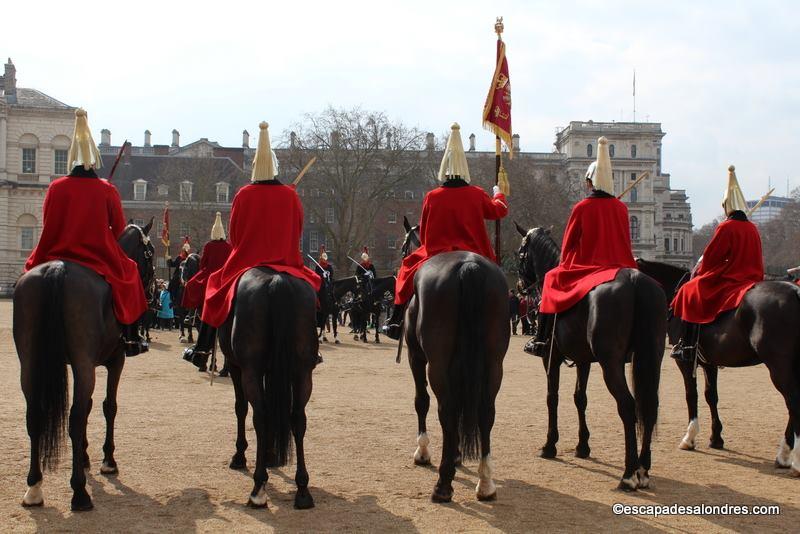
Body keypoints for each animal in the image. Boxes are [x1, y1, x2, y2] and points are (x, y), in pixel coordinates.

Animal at [13, 221, 155, 510]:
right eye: (151, 253)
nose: (154, 292)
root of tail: (56, 268)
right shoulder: (115, 361)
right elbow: (108, 407)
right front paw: (108, 461)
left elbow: (89, 405)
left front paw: (86, 457)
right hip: (83, 362)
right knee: (75, 418)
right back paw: (79, 493)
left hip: (30, 363)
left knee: (34, 415)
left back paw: (34, 487)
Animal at [219, 268, 322, 510]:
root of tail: (277, 279)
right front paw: (271, 454)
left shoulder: (237, 367)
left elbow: (241, 408)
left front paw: (241, 455)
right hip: (303, 371)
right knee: (298, 418)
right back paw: (303, 489)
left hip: (250, 371)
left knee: (260, 416)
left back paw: (258, 488)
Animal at [398, 221, 506, 502]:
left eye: (403, 247)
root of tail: (469, 266)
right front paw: (456, 454)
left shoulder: (416, 358)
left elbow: (422, 401)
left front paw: (424, 451)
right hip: (494, 364)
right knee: (486, 411)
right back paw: (485, 481)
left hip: (435, 364)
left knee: (444, 409)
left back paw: (443, 484)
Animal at [516, 224, 664, 492]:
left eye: (521, 253)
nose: (521, 287)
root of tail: (635, 280)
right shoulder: (583, 359)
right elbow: (580, 398)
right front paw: (582, 446)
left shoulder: (550, 358)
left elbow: (552, 398)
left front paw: (549, 445)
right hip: (651, 359)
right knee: (649, 405)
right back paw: (643, 469)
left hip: (611, 363)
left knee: (627, 405)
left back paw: (628, 474)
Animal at [640, 260, 800, 474]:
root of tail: (796, 291)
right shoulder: (710, 362)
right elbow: (711, 396)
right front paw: (716, 438)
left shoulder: (685, 361)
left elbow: (691, 395)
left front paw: (690, 437)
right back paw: (784, 454)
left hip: (778, 365)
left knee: (793, 402)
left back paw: (792, 459)